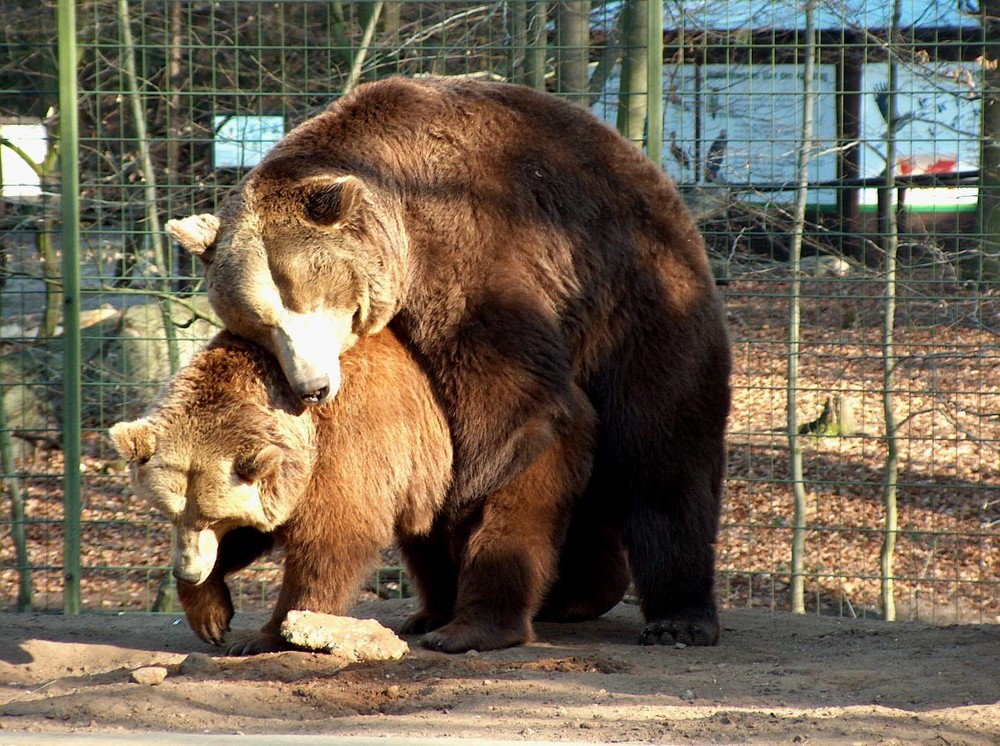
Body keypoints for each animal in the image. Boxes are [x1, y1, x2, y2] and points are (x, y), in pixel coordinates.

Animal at [108, 330, 596, 652]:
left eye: (215, 516)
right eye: (171, 512)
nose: (188, 571)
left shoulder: (349, 440)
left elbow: (332, 537)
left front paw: (267, 635)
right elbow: (258, 532)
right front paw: (210, 615)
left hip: (515, 448)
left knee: (506, 529)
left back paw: (469, 629)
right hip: (431, 478)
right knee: (426, 543)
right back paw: (430, 614)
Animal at [162, 72, 728, 648]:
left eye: (307, 300)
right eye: (261, 320)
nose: (313, 387)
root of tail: (660, 186)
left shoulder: (469, 252)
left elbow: (511, 407)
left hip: (637, 304)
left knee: (661, 452)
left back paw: (675, 618)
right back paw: (573, 595)